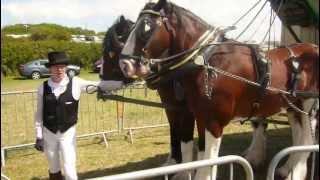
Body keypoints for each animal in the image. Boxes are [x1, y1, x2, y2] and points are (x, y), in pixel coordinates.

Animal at [119, 0, 318, 179]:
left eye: (146, 28)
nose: (124, 64)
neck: (208, 63)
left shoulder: (214, 122)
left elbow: (209, 162)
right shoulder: (200, 117)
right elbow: (201, 156)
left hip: (309, 106)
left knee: (307, 140)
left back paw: (296, 172)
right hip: (293, 106)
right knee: (298, 135)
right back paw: (286, 169)